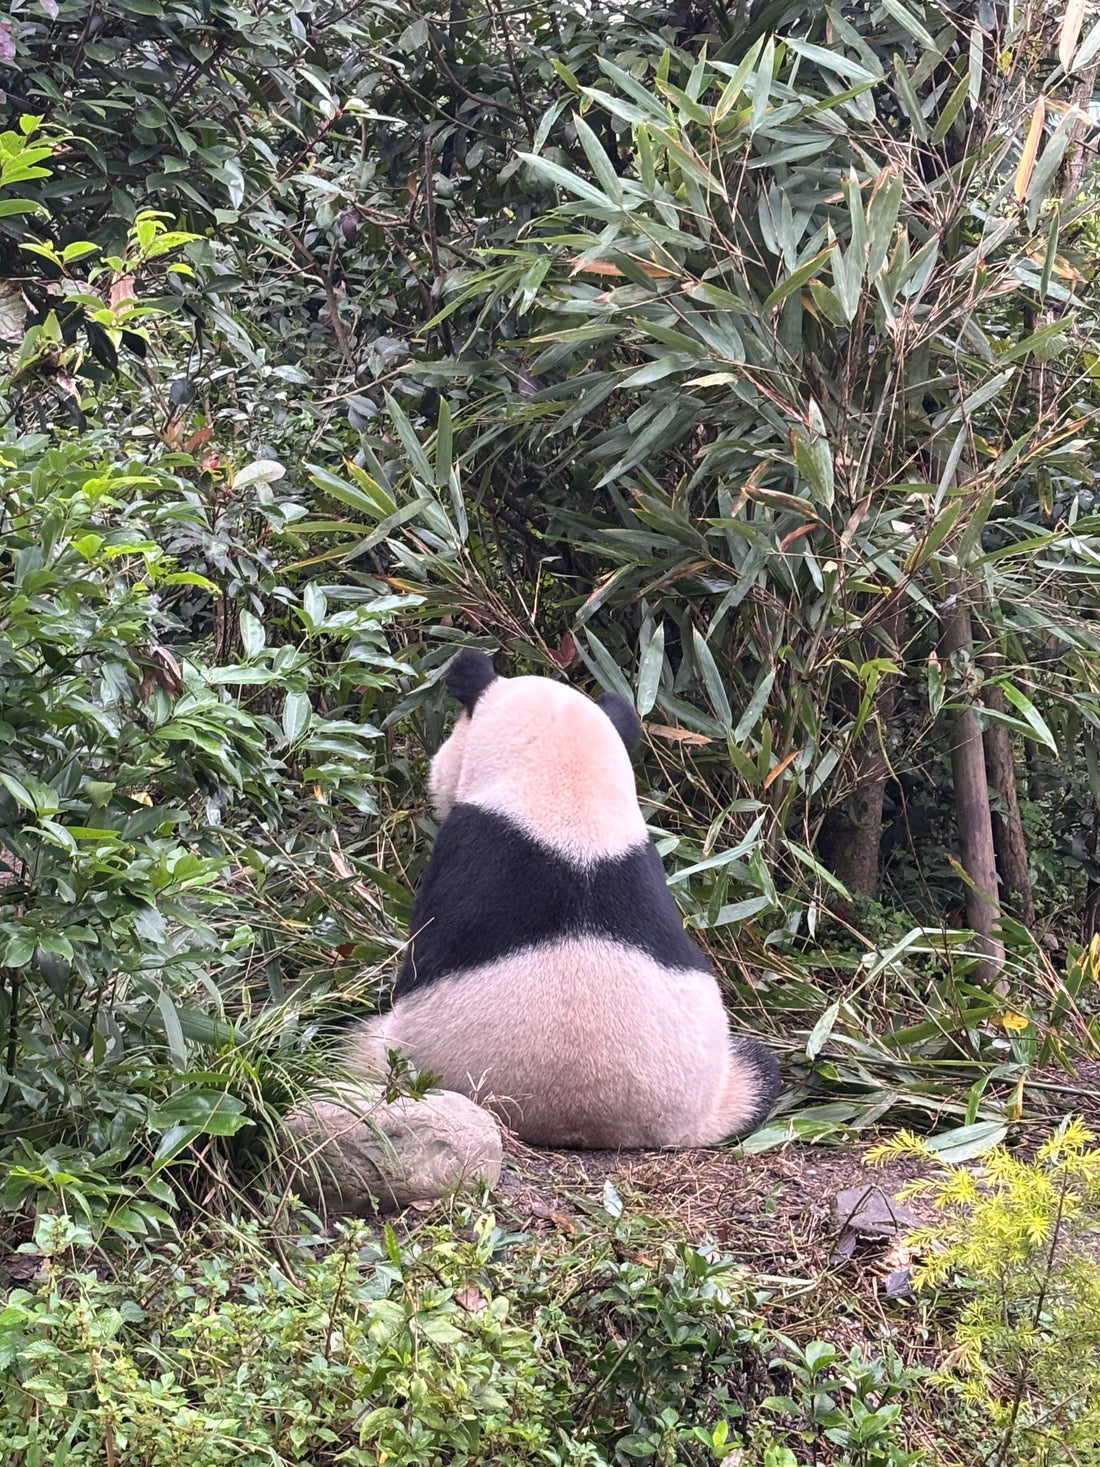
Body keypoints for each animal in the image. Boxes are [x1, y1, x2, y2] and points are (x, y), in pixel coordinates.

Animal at [347, 648, 781, 1149]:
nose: (433, 781)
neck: (567, 794)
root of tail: (583, 1121)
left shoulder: (470, 849)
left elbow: (420, 959)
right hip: (723, 1089)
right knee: (764, 1071)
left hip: (411, 1064)